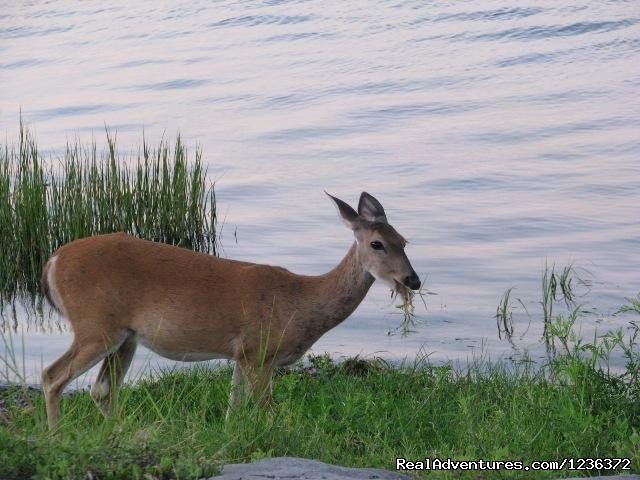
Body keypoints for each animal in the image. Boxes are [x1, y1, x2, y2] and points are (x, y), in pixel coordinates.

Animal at [40, 191, 420, 428]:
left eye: (404, 240)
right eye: (377, 243)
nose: (412, 280)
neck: (301, 302)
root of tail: (52, 262)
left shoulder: (241, 353)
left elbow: (233, 408)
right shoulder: (259, 351)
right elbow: (267, 411)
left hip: (125, 336)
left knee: (101, 389)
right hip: (95, 324)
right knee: (52, 376)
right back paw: (57, 436)